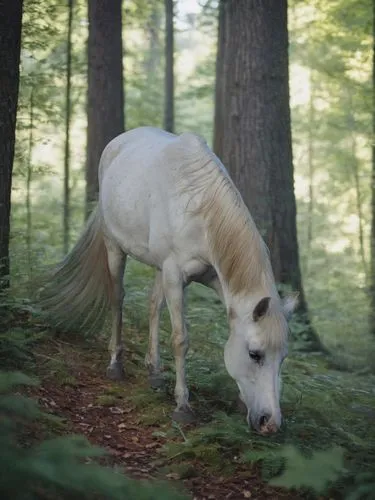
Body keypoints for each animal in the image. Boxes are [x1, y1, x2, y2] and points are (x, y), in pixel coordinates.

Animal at [41, 128, 298, 434]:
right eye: (254, 354)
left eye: (283, 357)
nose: (270, 423)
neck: (198, 208)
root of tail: (119, 141)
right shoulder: (175, 275)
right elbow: (180, 338)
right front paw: (182, 406)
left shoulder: (209, 278)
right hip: (115, 248)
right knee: (117, 299)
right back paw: (116, 364)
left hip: (158, 267)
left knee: (153, 306)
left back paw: (154, 371)